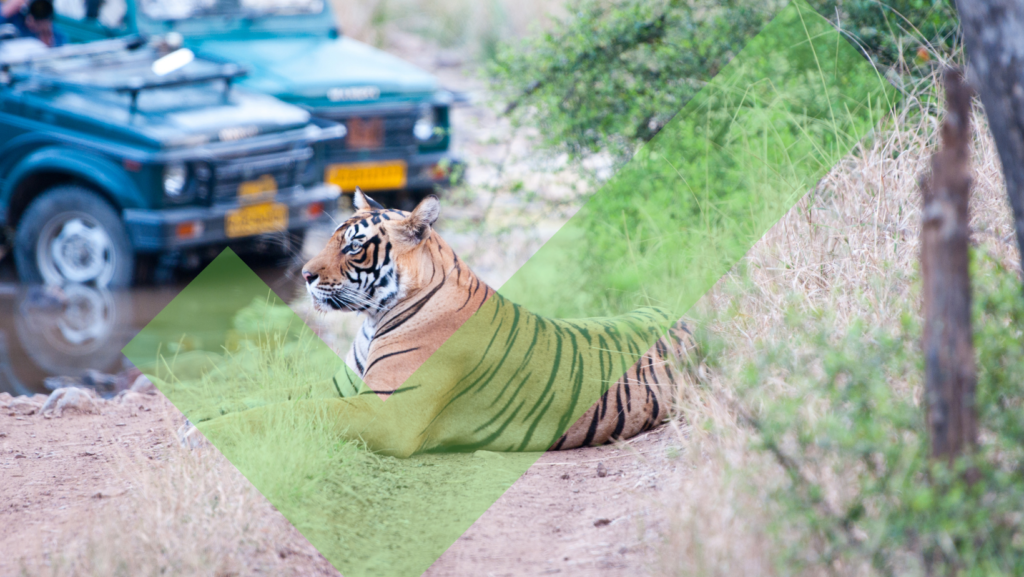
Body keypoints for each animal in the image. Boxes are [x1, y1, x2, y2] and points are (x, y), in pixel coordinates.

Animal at [197, 191, 696, 459]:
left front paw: (206, 433)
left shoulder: (385, 412)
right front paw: (203, 415)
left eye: (353, 247)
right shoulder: (342, 388)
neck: (372, 318)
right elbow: (263, 399)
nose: (303, 275)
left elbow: (287, 411)